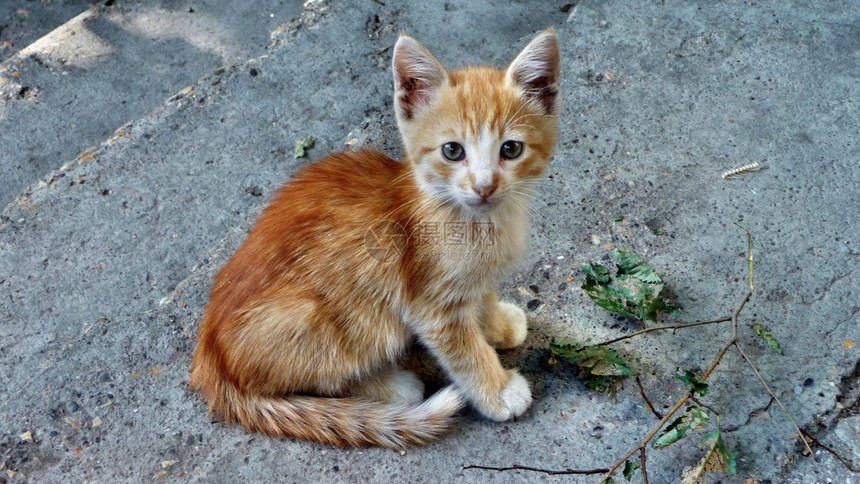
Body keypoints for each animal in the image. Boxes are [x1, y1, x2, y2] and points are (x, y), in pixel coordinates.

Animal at [191, 30, 560, 448]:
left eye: (510, 149)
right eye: (453, 151)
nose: (484, 187)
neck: (480, 222)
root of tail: (211, 355)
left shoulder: (475, 279)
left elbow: (484, 298)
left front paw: (498, 326)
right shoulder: (431, 305)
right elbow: (465, 350)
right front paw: (496, 389)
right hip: (342, 318)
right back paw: (391, 388)